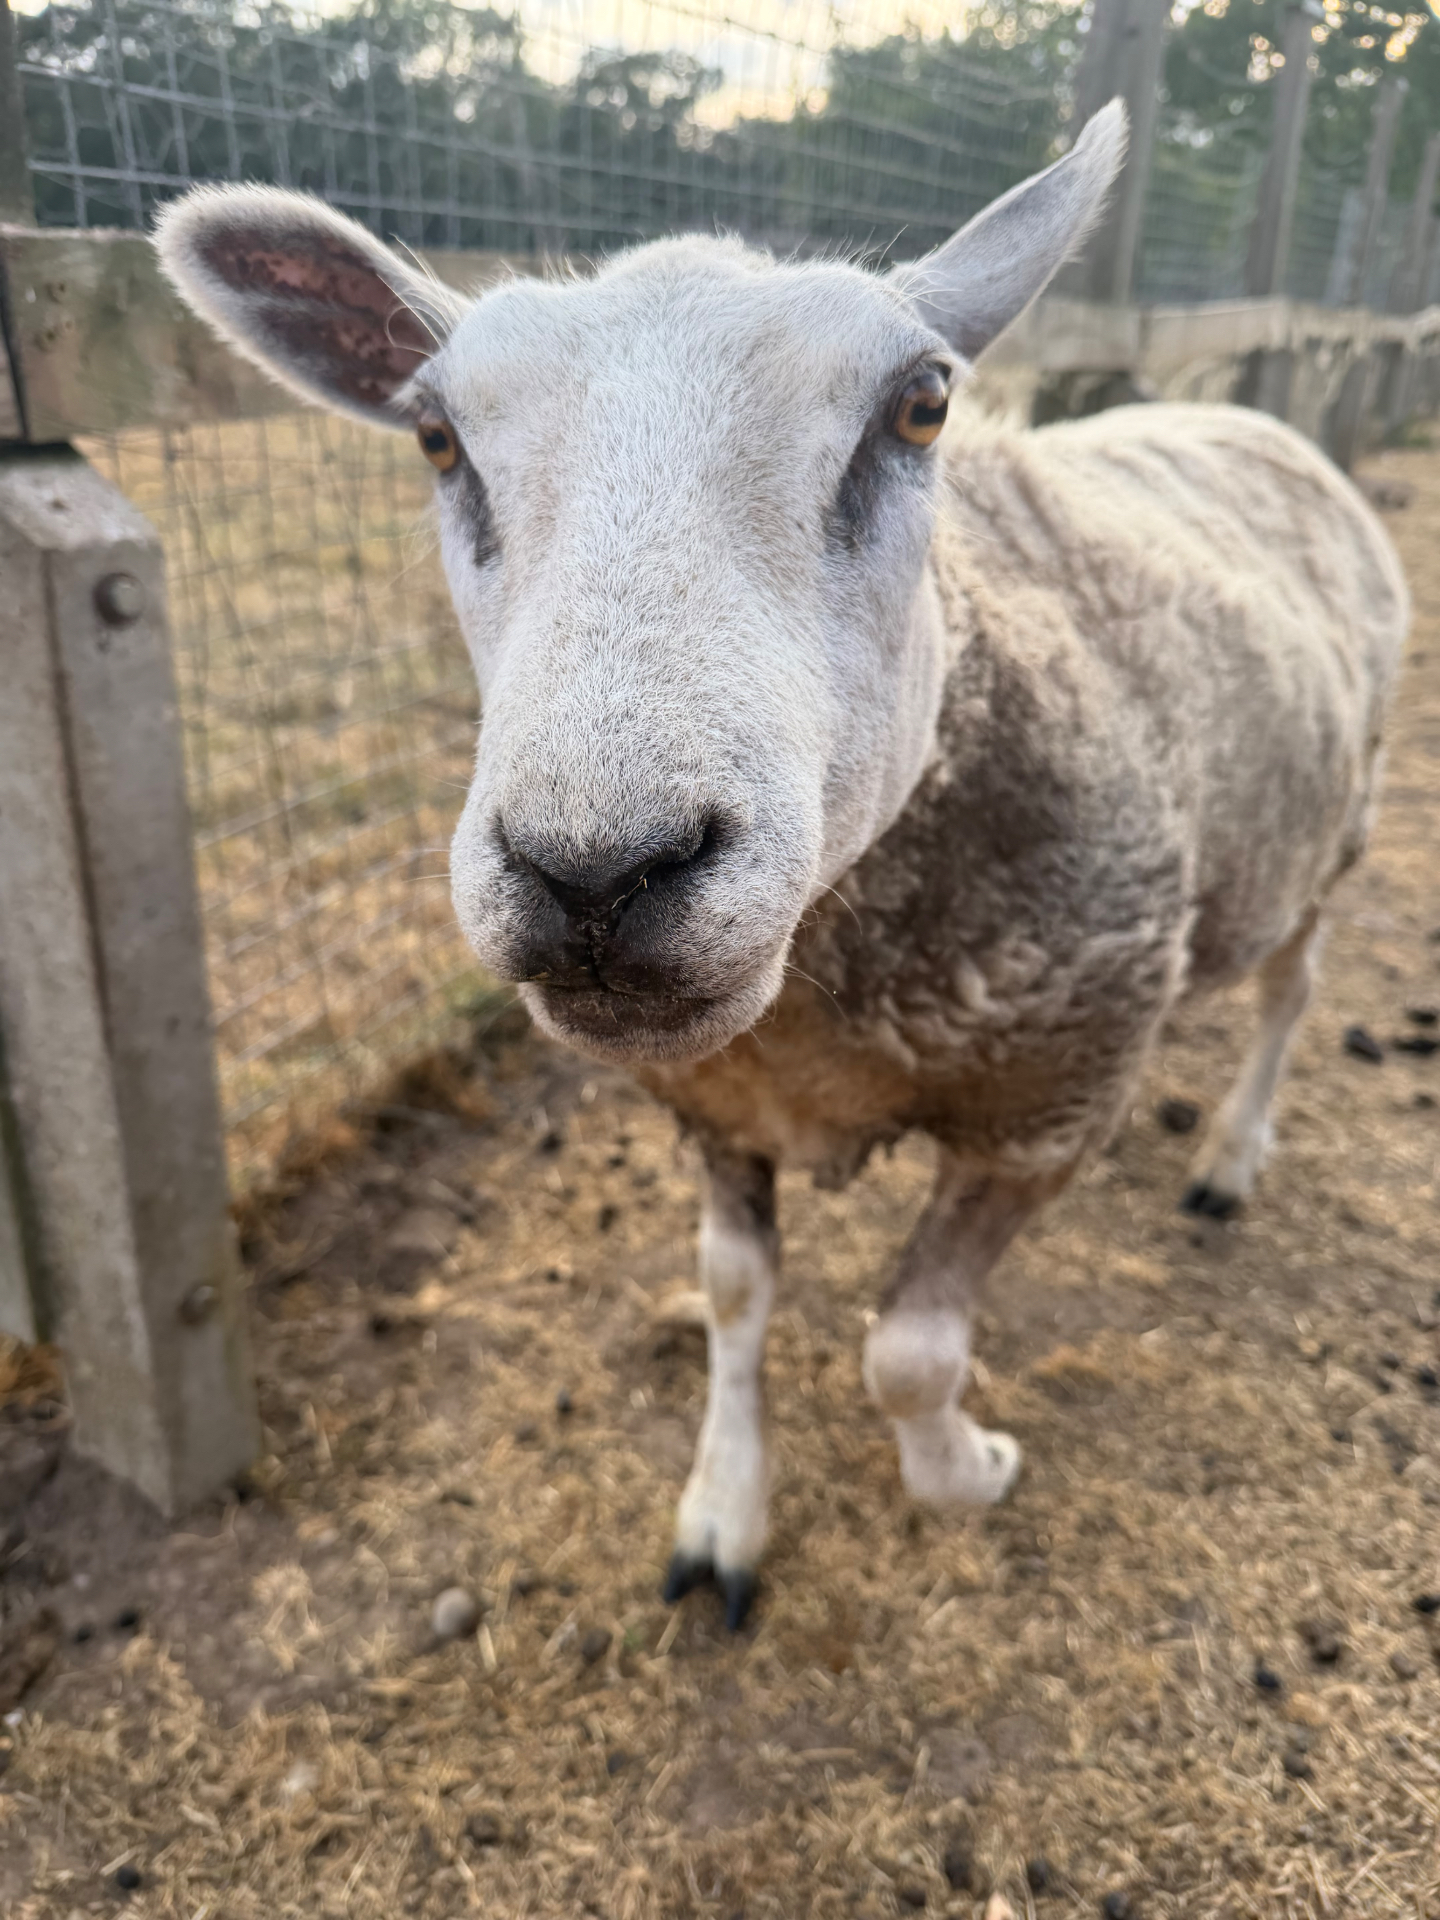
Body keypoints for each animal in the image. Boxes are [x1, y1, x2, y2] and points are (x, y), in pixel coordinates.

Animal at [155, 101, 1408, 1630]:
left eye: (922, 405)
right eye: (438, 438)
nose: (596, 873)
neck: (820, 1011)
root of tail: (1248, 413)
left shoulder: (1050, 1097)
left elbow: (909, 1354)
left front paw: (966, 1467)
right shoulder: (716, 1108)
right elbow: (736, 1302)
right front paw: (723, 1518)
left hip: (1335, 826)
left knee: (1292, 997)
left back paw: (1231, 1157)